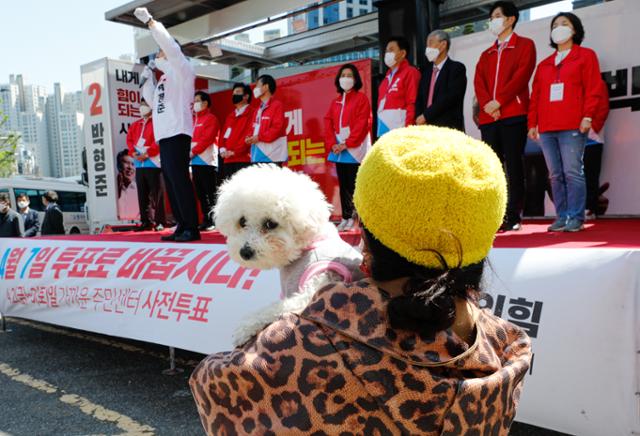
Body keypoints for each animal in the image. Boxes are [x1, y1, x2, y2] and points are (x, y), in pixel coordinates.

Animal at [215, 164, 362, 348]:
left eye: (270, 224)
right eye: (242, 222)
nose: (245, 252)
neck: (306, 247)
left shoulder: (313, 290)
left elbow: (274, 309)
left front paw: (244, 328)